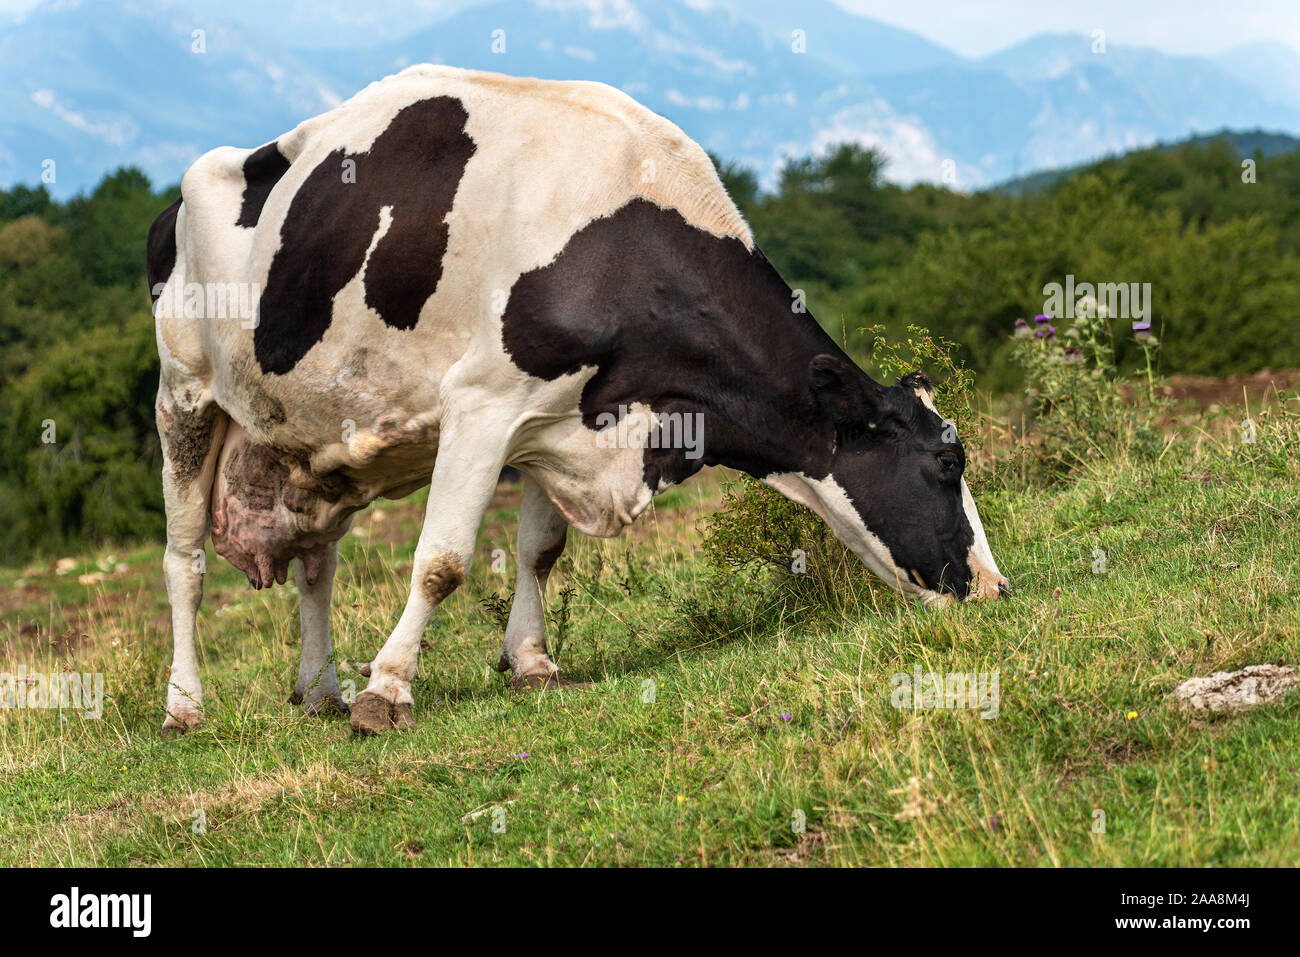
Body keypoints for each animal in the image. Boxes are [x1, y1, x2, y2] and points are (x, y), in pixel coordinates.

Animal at [147, 65, 1008, 738]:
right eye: (946, 462)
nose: (996, 588)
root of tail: (176, 199)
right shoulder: (483, 404)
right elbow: (442, 560)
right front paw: (387, 691)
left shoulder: (556, 420)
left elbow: (539, 550)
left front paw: (531, 662)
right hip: (184, 396)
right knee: (184, 562)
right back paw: (187, 706)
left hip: (313, 440)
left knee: (315, 562)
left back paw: (320, 689)